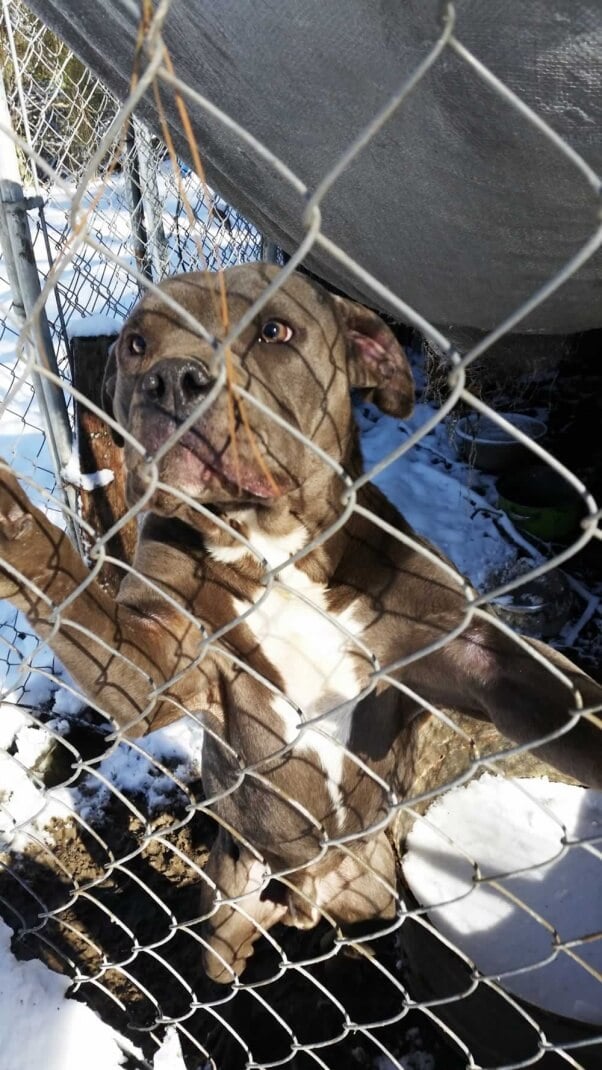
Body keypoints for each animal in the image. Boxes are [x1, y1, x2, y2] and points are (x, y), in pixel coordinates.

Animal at [0, 263, 598, 980]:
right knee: (227, 954)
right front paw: (11, 521)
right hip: (231, 907)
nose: (171, 379)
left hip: (377, 887)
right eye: (137, 343)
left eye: (275, 331)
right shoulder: (157, 668)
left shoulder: (473, 654)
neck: (272, 545)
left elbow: (565, 700)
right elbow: (78, 598)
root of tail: (309, 894)